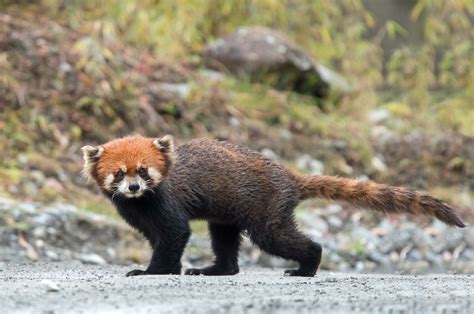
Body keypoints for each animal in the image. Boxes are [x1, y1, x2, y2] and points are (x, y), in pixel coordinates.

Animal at [82, 135, 466, 278]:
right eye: (120, 173)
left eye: (143, 171)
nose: (133, 187)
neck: (142, 203)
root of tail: (287, 174)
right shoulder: (138, 213)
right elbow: (161, 238)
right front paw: (166, 267)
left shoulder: (168, 201)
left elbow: (176, 234)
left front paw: (152, 271)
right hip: (228, 214)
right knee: (225, 241)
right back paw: (216, 270)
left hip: (267, 212)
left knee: (280, 239)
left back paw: (306, 267)